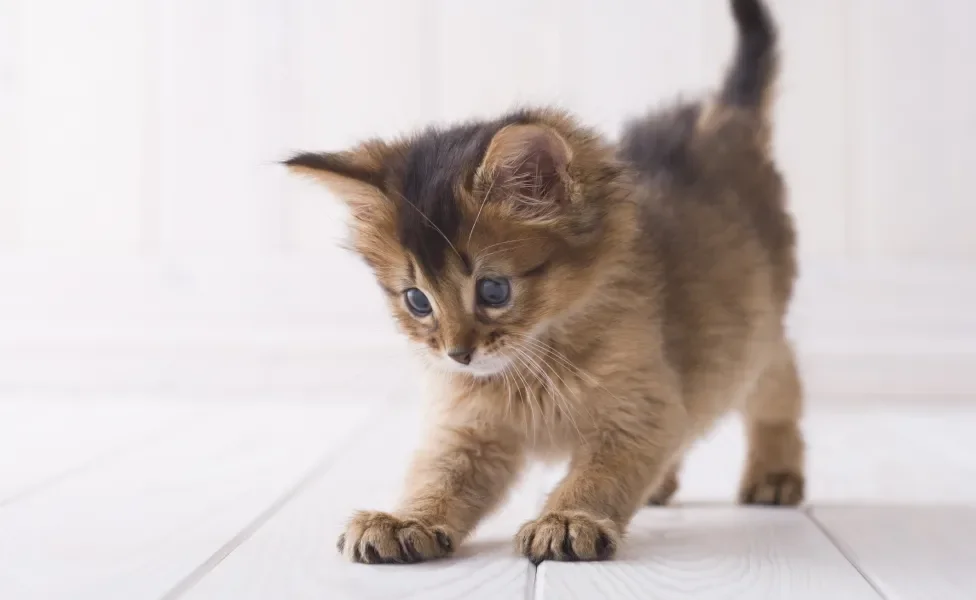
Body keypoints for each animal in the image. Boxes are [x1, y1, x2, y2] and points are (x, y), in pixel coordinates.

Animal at [284, 0, 800, 564]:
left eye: (493, 290)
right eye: (417, 300)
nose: (457, 355)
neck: (535, 362)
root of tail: (720, 116)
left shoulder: (641, 408)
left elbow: (600, 475)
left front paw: (567, 520)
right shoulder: (469, 429)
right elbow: (437, 478)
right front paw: (405, 521)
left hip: (754, 340)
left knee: (781, 386)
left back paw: (776, 474)